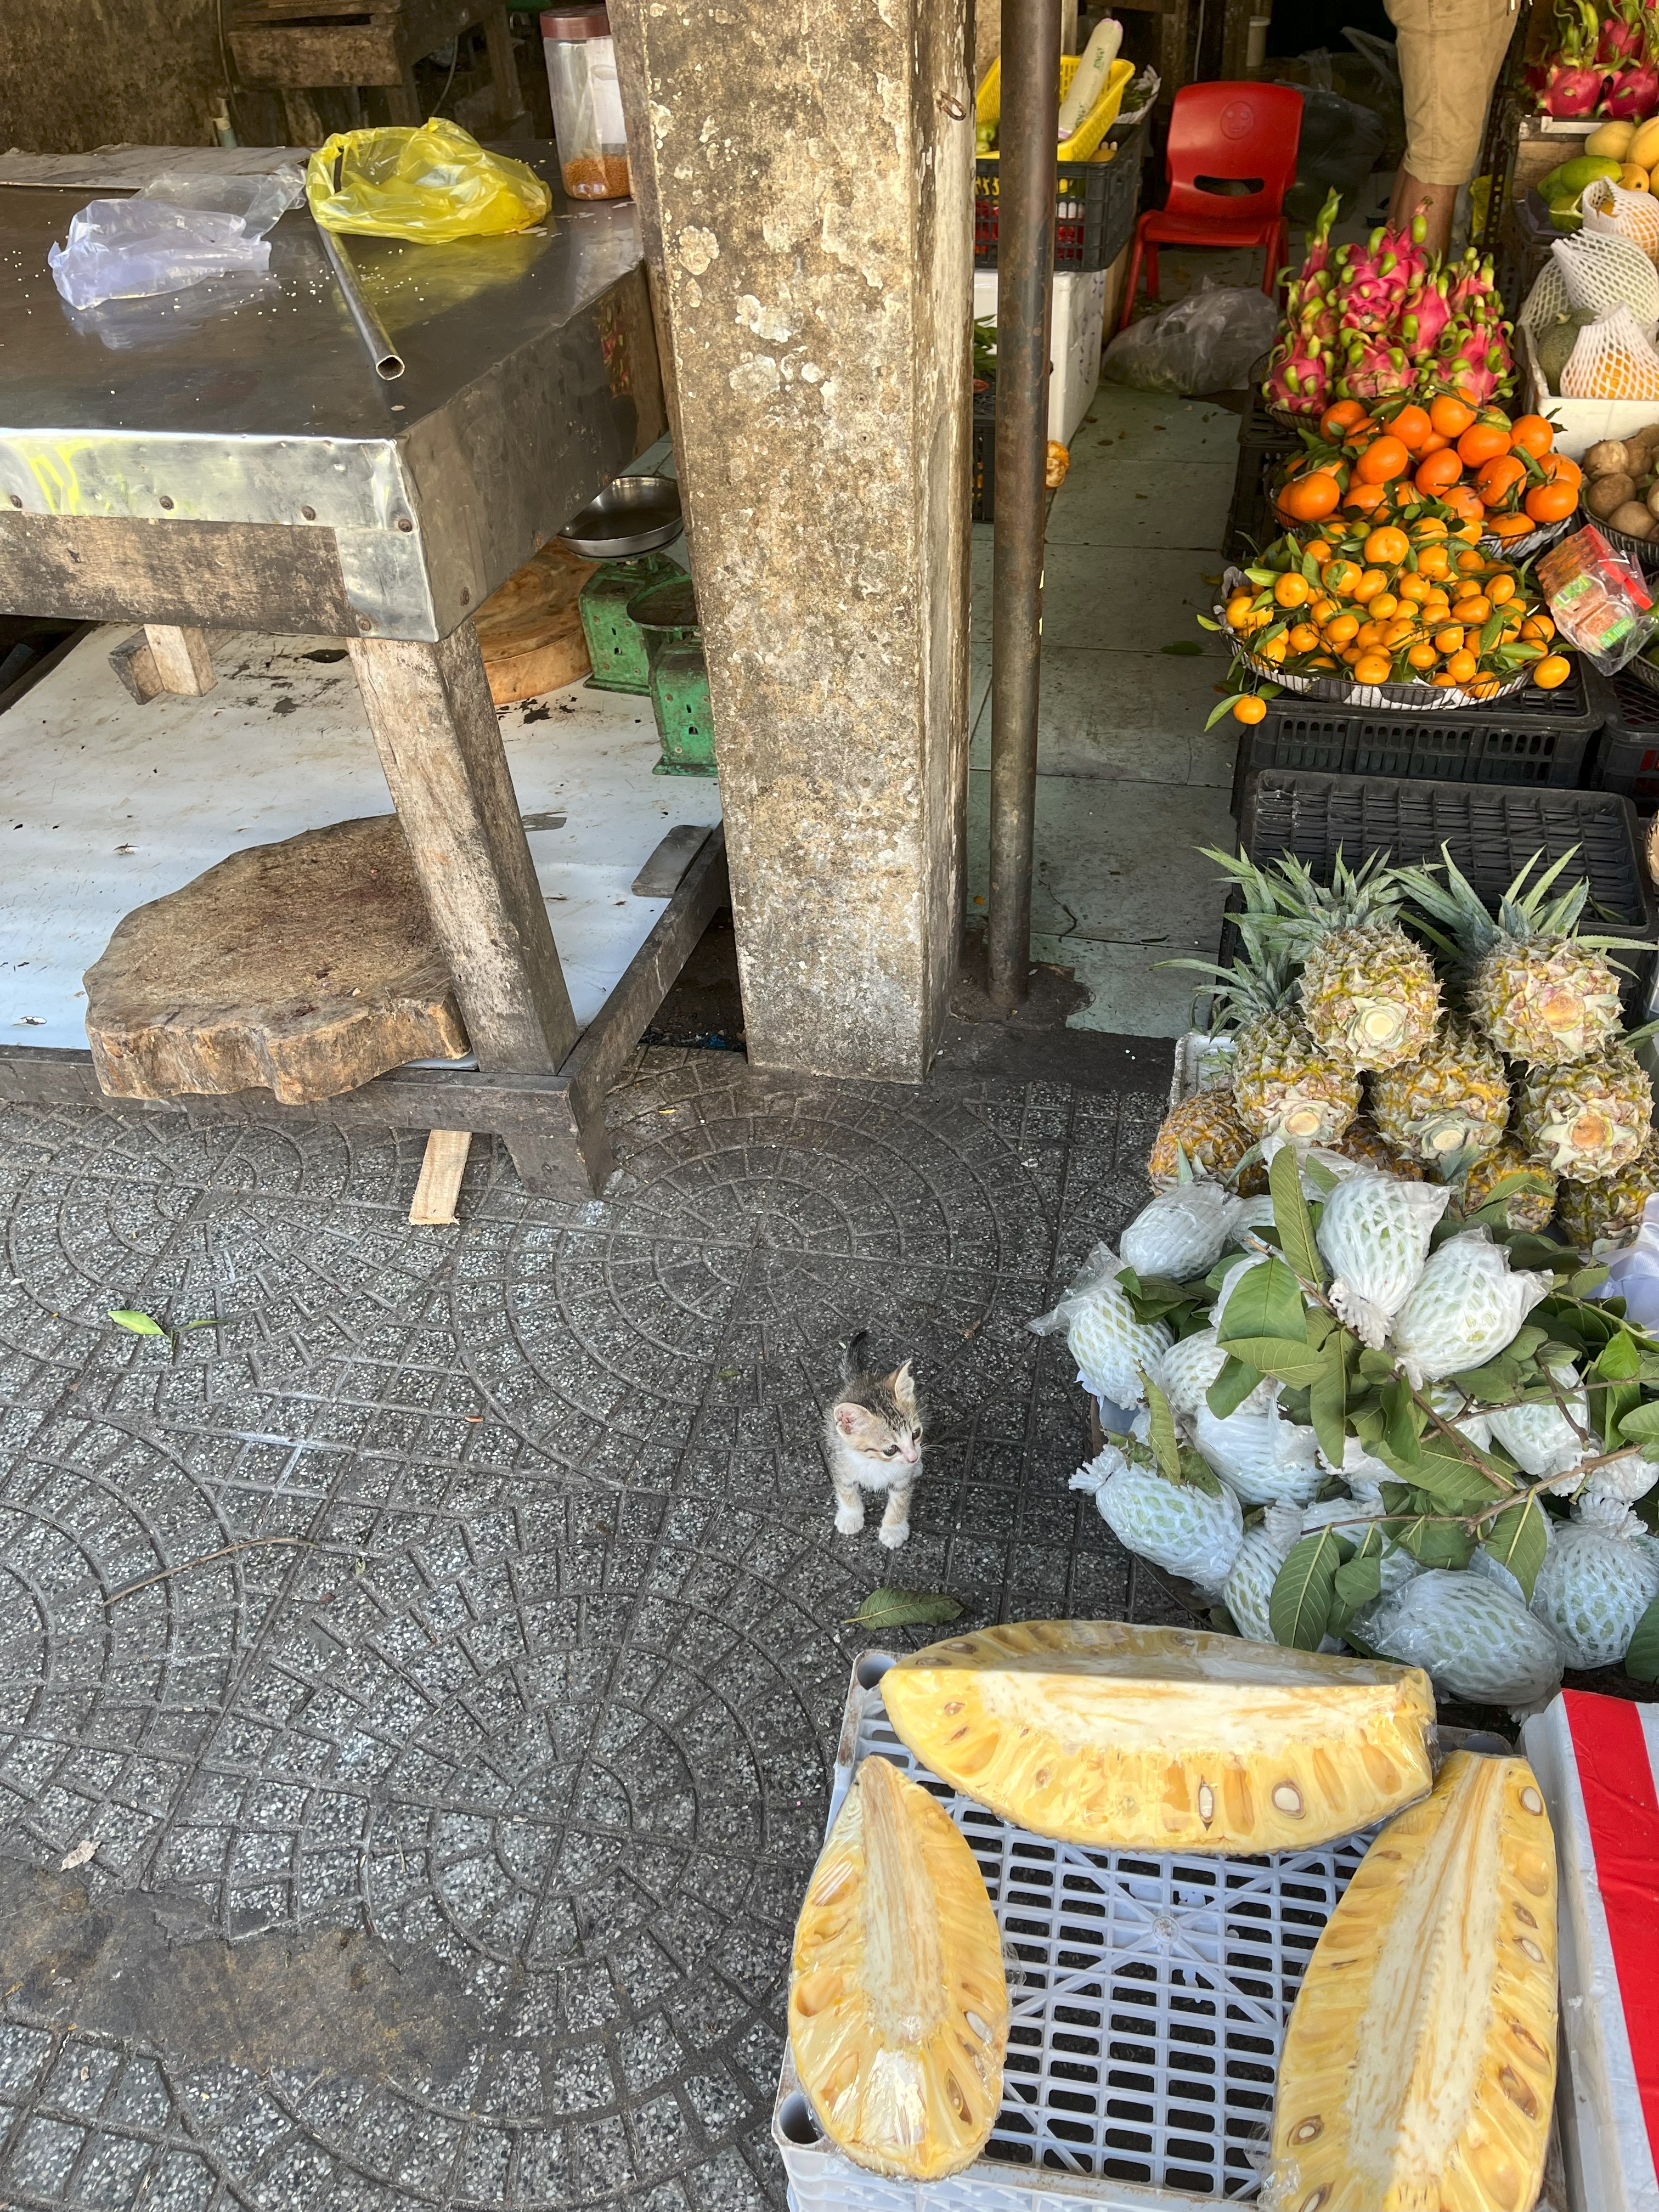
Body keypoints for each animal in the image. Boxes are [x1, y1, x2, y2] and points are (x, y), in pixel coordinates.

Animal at [824, 1332, 923, 1550]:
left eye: (916, 1434)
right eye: (890, 1450)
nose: (913, 1458)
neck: (875, 1464)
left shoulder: (902, 1479)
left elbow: (901, 1500)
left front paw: (894, 1529)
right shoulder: (840, 1463)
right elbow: (846, 1491)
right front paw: (850, 1517)